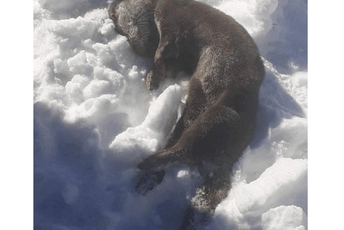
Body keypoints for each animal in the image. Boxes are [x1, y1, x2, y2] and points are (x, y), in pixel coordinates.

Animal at [109, 0, 264, 228]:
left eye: (123, 24)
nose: (110, 12)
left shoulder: (175, 21)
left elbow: (162, 48)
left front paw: (151, 75)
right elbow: (164, 63)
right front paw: (151, 78)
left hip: (217, 116)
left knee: (185, 149)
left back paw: (148, 164)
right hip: (203, 118)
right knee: (186, 150)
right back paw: (150, 176)